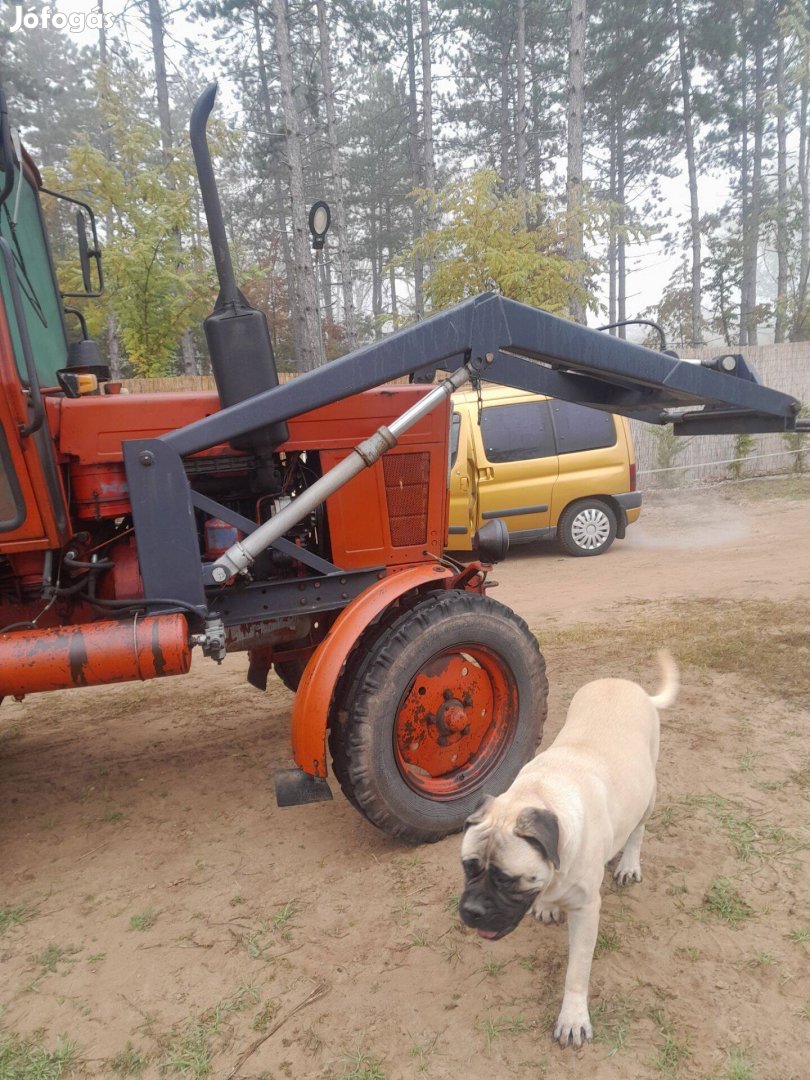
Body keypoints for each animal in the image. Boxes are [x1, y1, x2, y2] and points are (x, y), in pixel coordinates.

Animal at [460, 648, 682, 1045]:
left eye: (505, 880)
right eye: (467, 867)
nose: (470, 911)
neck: (538, 794)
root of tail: (628, 685)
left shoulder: (586, 911)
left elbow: (576, 972)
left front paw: (574, 1017)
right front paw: (547, 907)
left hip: (649, 793)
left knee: (638, 830)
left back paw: (628, 862)